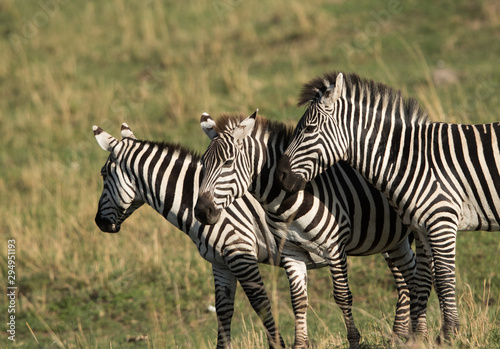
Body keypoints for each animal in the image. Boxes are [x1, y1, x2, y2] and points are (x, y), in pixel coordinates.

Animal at [93, 123, 348, 348]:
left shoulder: (240, 252)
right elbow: (223, 312)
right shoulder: (220, 262)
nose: (98, 222)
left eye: (103, 174)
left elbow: (261, 304)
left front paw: (278, 345)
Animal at [193, 111, 424, 348]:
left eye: (228, 163)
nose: (201, 211)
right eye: (203, 165)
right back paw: (404, 335)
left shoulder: (335, 247)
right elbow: (298, 300)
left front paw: (353, 340)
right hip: (394, 239)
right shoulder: (291, 252)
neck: (286, 199)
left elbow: (342, 296)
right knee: (409, 274)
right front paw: (300, 344)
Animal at [276, 70, 500, 340]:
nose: (280, 176)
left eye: (309, 128)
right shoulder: (423, 226)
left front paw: (450, 335)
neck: (412, 160)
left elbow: (444, 279)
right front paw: (424, 338)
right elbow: (426, 279)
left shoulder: (441, 220)